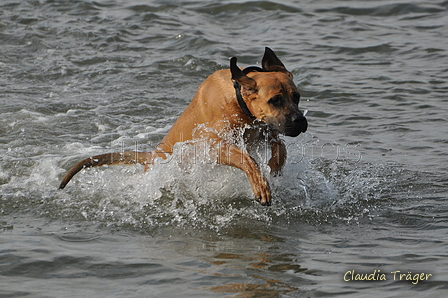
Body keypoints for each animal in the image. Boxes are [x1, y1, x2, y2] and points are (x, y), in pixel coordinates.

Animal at [58, 47, 308, 205]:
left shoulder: (266, 131)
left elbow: (281, 149)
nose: (300, 121)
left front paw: (275, 169)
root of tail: (151, 157)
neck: (239, 101)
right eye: (275, 100)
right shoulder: (212, 144)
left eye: (296, 97)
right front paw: (260, 185)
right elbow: (247, 159)